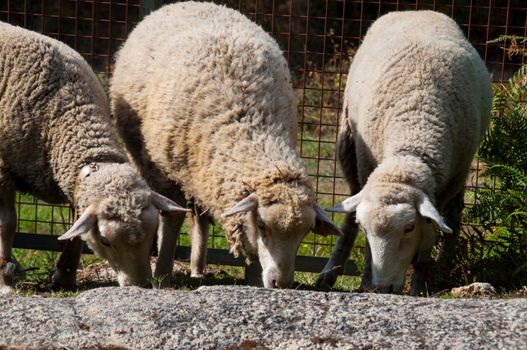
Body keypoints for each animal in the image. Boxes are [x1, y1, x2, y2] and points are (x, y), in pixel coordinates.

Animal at [0, 19, 190, 292]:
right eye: (105, 240)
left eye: (153, 233)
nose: (140, 286)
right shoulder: (2, 170)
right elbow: (7, 225)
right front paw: (6, 282)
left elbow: (76, 227)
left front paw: (65, 275)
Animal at [111, 1, 342, 288]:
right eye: (262, 226)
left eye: (303, 234)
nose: (280, 283)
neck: (252, 128)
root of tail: (188, 3)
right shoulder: (164, 172)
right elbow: (173, 218)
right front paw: (162, 275)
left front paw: (253, 279)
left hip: (200, 169)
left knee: (200, 216)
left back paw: (198, 268)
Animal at [318, 10, 496, 294]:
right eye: (366, 229)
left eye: (410, 227)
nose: (383, 287)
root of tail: (418, 11)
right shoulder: (367, 167)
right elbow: (364, 244)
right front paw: (366, 282)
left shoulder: (442, 186)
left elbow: (432, 233)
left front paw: (419, 285)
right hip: (348, 147)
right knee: (347, 217)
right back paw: (329, 273)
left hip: (460, 172)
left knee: (454, 214)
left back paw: (443, 265)